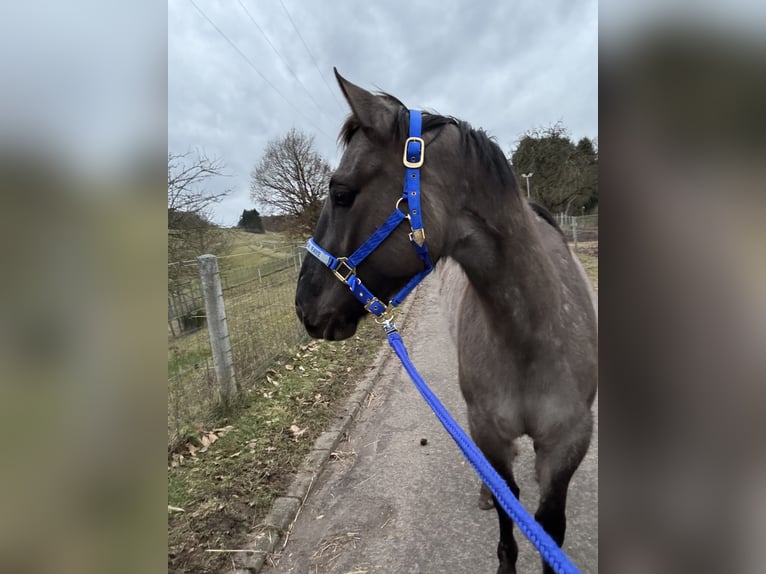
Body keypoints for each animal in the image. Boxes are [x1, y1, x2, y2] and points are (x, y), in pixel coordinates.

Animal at [295, 70, 597, 574]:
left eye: (341, 193)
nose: (304, 308)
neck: (532, 336)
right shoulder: (489, 433)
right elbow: (507, 512)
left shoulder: (567, 445)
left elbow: (548, 528)